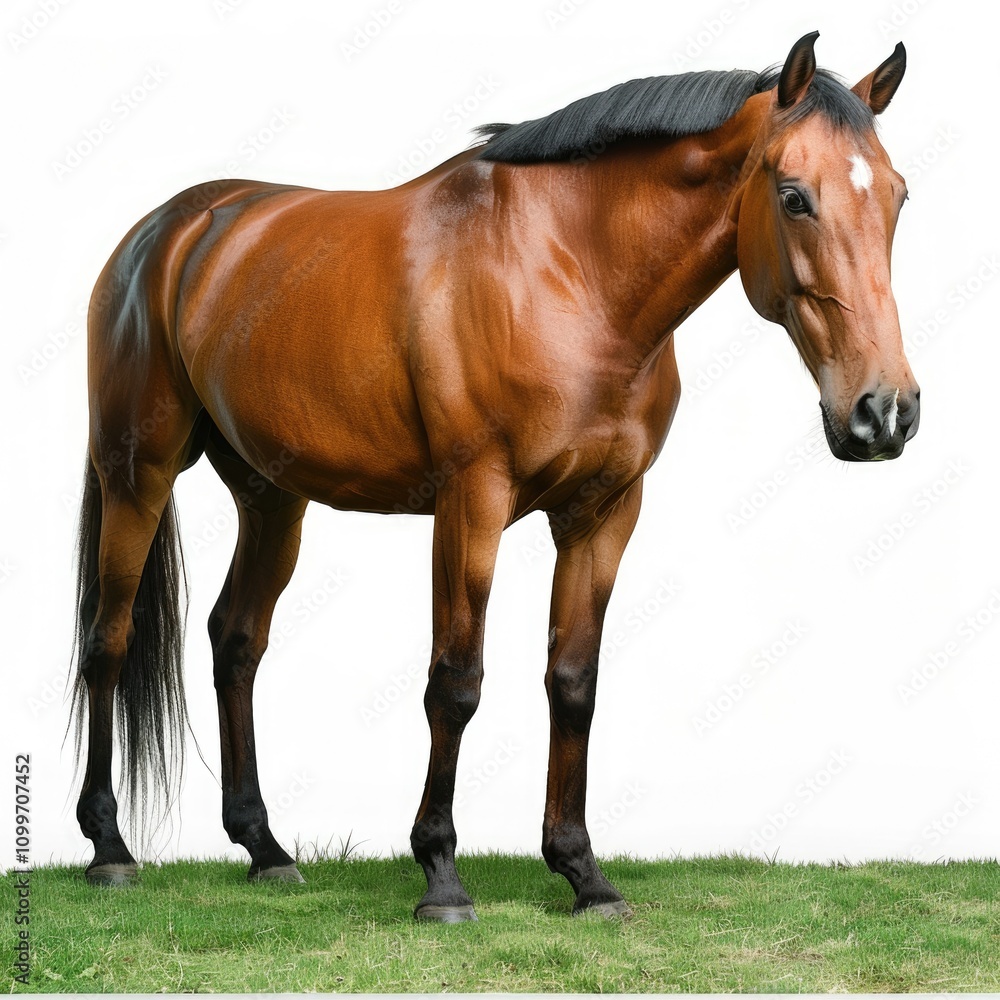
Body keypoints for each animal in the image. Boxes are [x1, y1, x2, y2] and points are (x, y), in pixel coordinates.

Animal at [70, 31, 919, 921]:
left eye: (898, 198)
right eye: (794, 198)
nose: (884, 411)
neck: (570, 273)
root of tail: (170, 230)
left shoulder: (604, 512)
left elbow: (573, 683)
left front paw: (582, 873)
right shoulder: (471, 501)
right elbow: (456, 682)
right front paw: (441, 876)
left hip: (273, 498)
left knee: (236, 641)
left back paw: (265, 848)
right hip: (137, 474)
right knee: (108, 639)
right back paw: (110, 848)